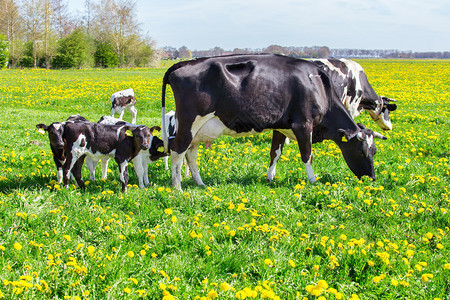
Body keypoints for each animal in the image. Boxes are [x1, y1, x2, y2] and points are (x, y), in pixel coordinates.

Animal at [162, 54, 386, 190]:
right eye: (361, 151)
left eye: (374, 151)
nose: (372, 178)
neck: (317, 84)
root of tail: (186, 63)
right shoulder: (303, 125)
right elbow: (307, 155)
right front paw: (313, 180)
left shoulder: (281, 126)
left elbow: (275, 153)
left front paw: (269, 178)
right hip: (189, 123)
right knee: (177, 151)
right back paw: (177, 187)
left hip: (198, 130)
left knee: (190, 154)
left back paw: (199, 183)